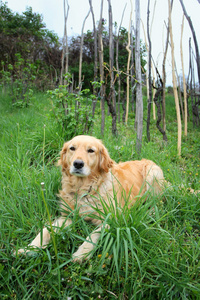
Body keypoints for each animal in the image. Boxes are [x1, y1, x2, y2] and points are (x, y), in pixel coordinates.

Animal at [16, 135, 165, 262]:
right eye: (72, 148)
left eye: (91, 150)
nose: (78, 164)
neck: (84, 188)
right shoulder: (67, 216)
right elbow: (46, 230)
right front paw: (29, 248)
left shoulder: (111, 218)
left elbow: (94, 235)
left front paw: (81, 253)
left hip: (152, 175)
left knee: (158, 203)